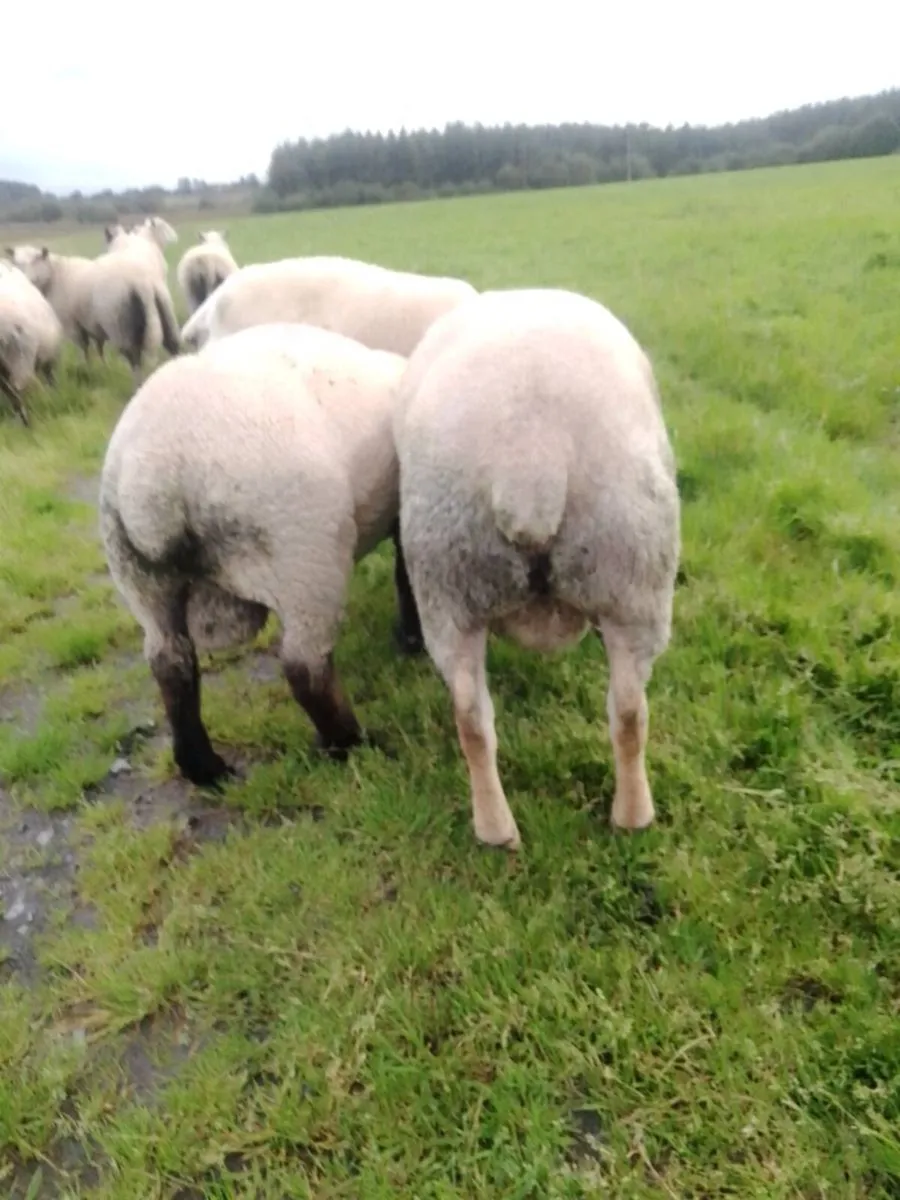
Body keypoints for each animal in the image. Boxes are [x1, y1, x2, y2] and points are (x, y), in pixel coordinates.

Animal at [10, 245, 180, 384]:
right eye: (15, 262)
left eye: (37, 259)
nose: (24, 277)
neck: (56, 276)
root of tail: (142, 281)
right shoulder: (91, 324)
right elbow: (99, 347)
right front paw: (103, 368)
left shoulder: (72, 324)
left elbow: (83, 349)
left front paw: (84, 369)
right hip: (164, 311)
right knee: (172, 344)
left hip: (117, 323)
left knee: (133, 355)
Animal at [99, 321, 424, 786]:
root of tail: (158, 474)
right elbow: (406, 575)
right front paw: (412, 640)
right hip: (305, 555)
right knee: (305, 667)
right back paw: (351, 745)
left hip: (139, 575)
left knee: (170, 662)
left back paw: (205, 769)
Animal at [393, 287, 681, 851]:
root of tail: (530, 455)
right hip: (633, 579)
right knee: (629, 711)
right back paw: (632, 816)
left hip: (455, 589)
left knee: (476, 720)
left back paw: (501, 830)